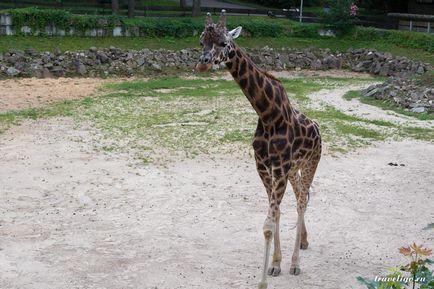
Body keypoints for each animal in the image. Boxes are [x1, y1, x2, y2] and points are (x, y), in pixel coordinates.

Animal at [197, 11, 322, 288]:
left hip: (311, 163)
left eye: (223, 42)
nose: (203, 63)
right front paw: (275, 264)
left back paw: (296, 264)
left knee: (301, 202)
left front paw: (265, 278)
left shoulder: (279, 167)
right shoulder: (263, 167)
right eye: (201, 41)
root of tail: (318, 129)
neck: (267, 115)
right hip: (294, 170)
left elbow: (268, 223)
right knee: (301, 196)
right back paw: (304, 241)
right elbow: (275, 217)